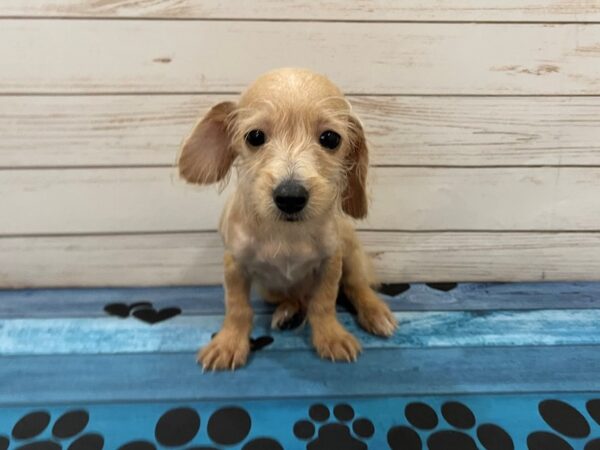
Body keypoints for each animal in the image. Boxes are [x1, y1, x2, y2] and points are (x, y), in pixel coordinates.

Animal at [178, 67, 398, 370]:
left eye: (330, 139)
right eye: (255, 137)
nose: (291, 197)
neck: (286, 234)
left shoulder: (331, 262)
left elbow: (324, 303)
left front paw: (331, 336)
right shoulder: (235, 265)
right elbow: (237, 308)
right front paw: (228, 343)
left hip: (350, 251)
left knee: (356, 286)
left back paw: (376, 312)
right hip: (268, 289)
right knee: (296, 298)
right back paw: (288, 311)